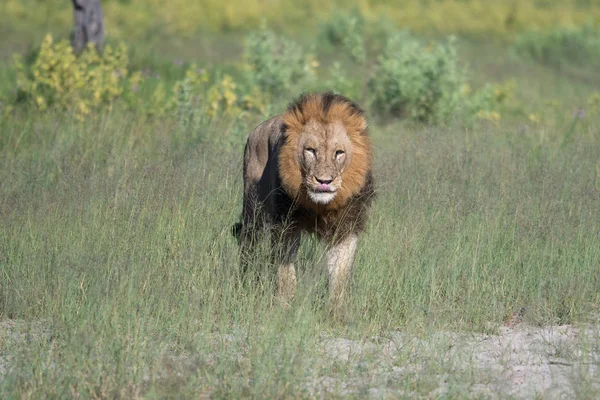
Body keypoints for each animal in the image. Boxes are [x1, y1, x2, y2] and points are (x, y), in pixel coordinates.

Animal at [234, 92, 376, 310]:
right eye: (311, 150)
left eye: (339, 153)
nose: (324, 181)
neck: (320, 205)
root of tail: (256, 130)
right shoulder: (286, 225)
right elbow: (285, 271)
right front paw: (285, 306)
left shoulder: (345, 227)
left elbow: (340, 274)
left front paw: (337, 311)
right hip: (253, 211)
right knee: (248, 244)